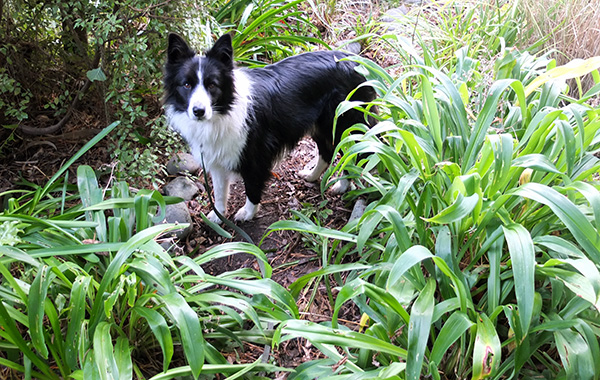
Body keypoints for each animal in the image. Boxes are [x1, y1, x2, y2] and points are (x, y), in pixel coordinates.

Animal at [164, 33, 376, 223]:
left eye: (212, 85)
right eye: (186, 84)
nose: (198, 111)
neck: (223, 111)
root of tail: (358, 63)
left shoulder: (255, 155)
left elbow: (252, 187)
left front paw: (247, 214)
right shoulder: (217, 158)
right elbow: (220, 190)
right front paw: (218, 216)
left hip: (346, 125)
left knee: (353, 153)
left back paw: (343, 186)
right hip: (321, 126)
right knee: (328, 150)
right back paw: (311, 176)